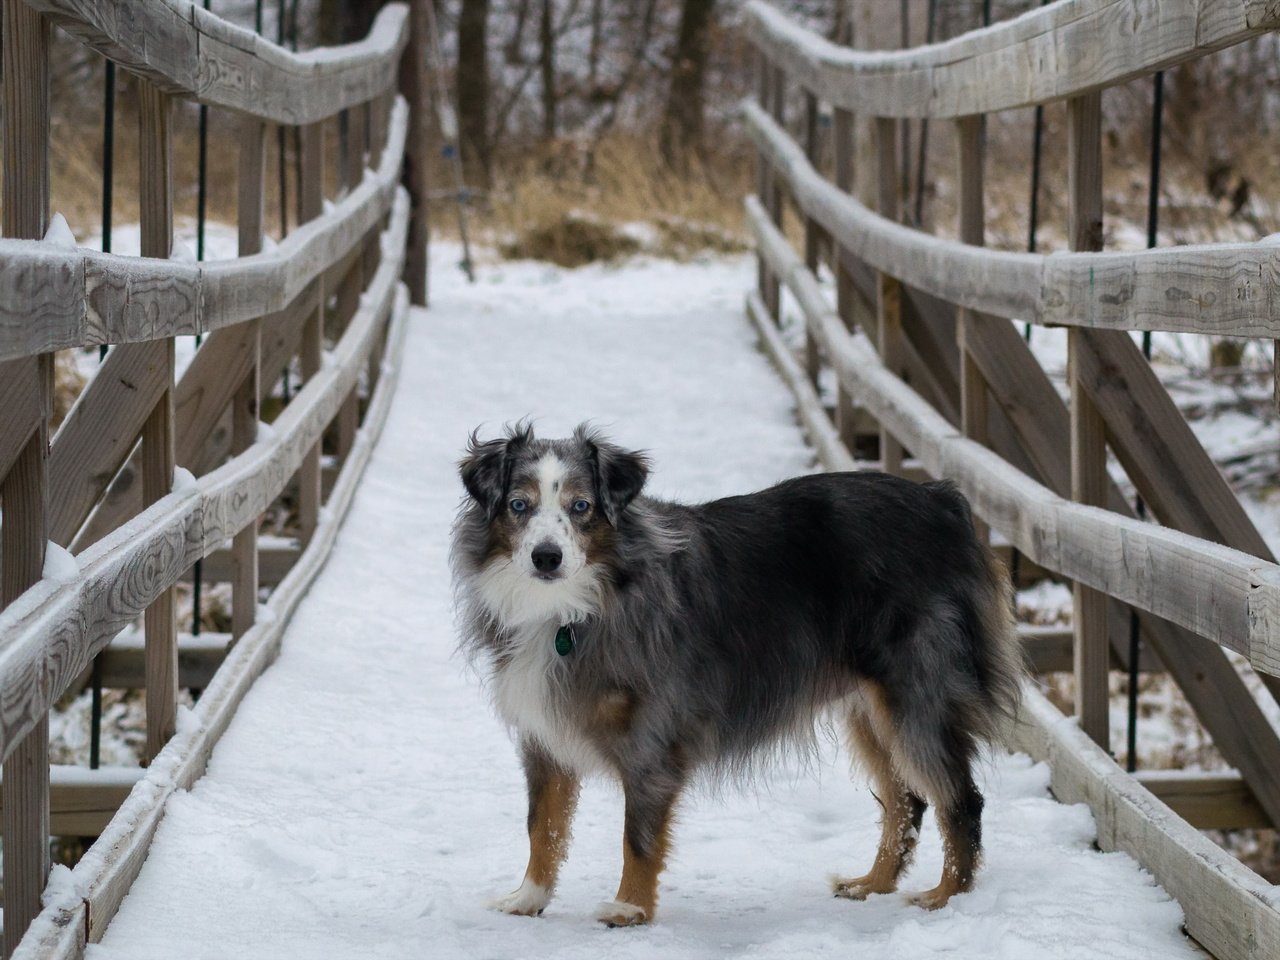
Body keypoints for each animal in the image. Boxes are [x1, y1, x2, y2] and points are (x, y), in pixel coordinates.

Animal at [450, 424, 1018, 926]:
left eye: (581, 507)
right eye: (519, 506)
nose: (546, 558)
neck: (579, 604)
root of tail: (942, 500)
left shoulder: (651, 736)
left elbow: (638, 835)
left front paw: (630, 909)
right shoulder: (543, 739)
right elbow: (541, 826)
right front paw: (528, 898)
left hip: (916, 693)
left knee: (960, 800)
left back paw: (946, 898)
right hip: (867, 706)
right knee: (906, 800)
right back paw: (872, 884)